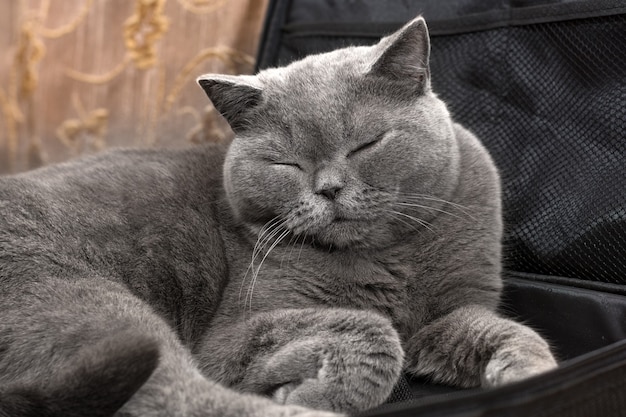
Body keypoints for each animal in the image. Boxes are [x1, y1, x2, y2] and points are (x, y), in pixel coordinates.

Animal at [0, 17, 556, 416]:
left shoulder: (452, 309)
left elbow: (499, 329)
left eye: (367, 144)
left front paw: (529, 371)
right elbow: (373, 329)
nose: (329, 189)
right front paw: (308, 392)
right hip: (89, 307)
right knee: (178, 399)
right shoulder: (228, 334)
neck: (391, 259)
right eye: (288, 164)